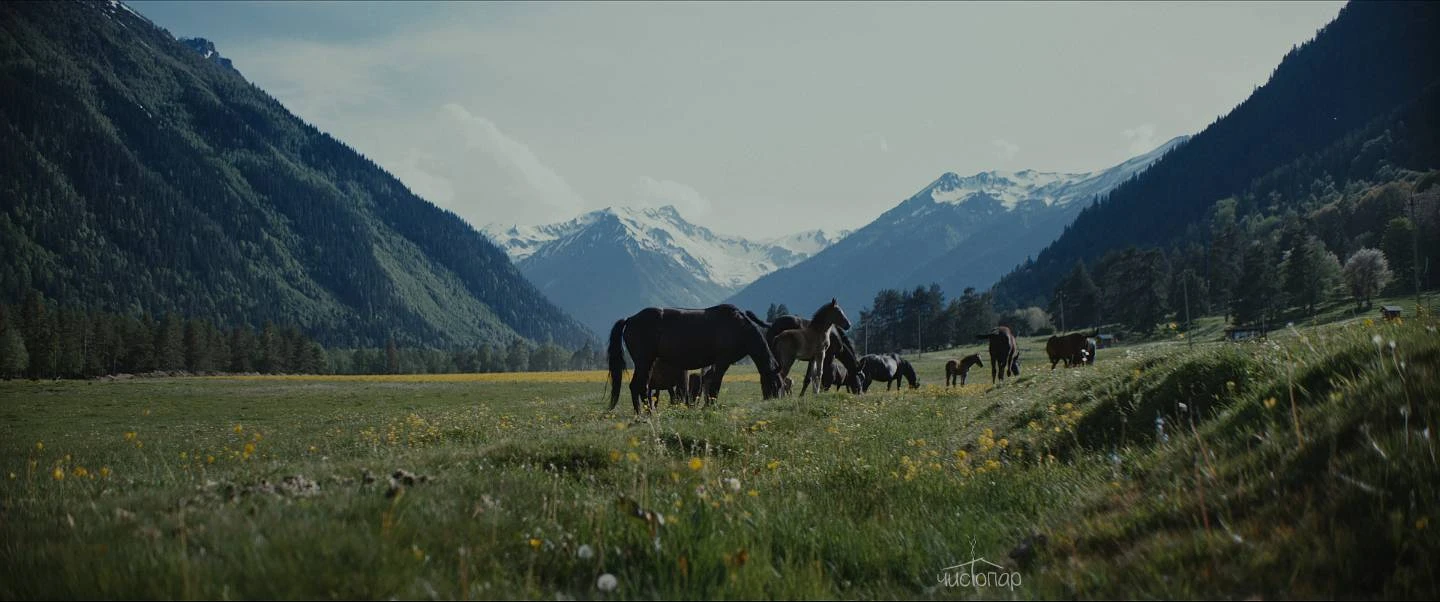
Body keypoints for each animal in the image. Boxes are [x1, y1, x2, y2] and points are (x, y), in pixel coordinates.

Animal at [610, 303, 789, 417]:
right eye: (776, 384)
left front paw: (707, 406)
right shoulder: (722, 362)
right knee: (637, 386)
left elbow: (709, 383)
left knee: (642, 386)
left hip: (648, 363)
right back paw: (644, 414)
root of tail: (630, 319)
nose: (775, 404)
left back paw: (646, 412)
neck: (739, 327)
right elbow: (715, 386)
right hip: (644, 362)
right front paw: (711, 407)